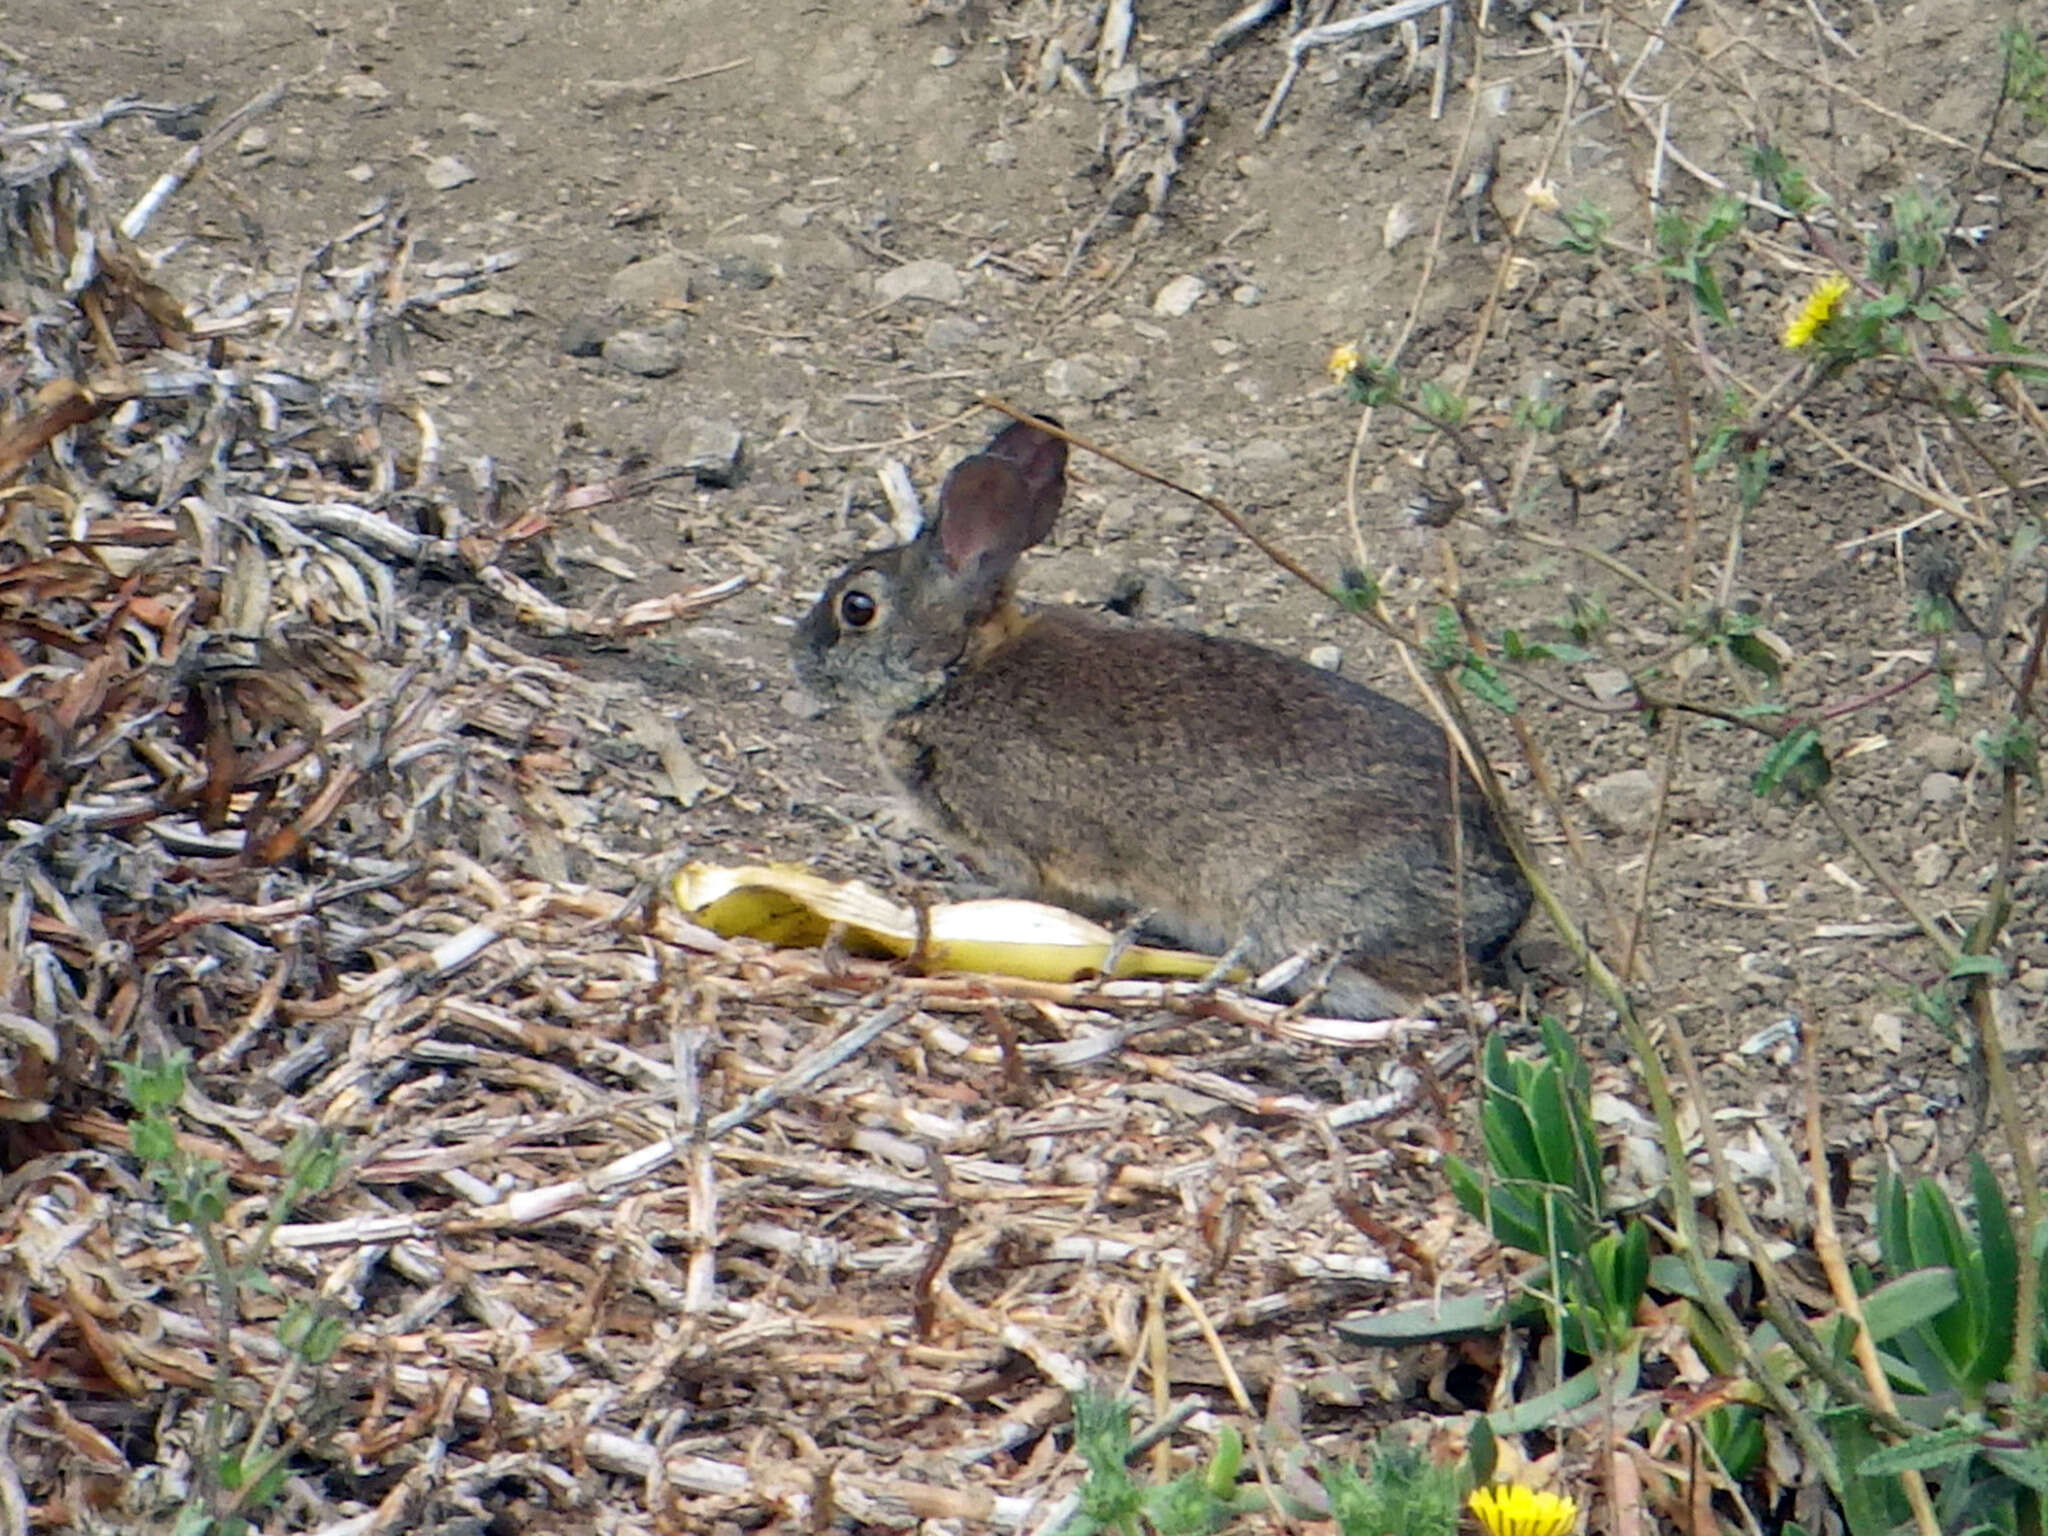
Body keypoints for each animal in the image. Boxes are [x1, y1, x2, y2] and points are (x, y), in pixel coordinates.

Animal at [790, 417, 1531, 1024]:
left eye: (857, 608)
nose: (798, 656)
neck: (953, 674)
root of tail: (1505, 898)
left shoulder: (1020, 844)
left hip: (1302, 912)